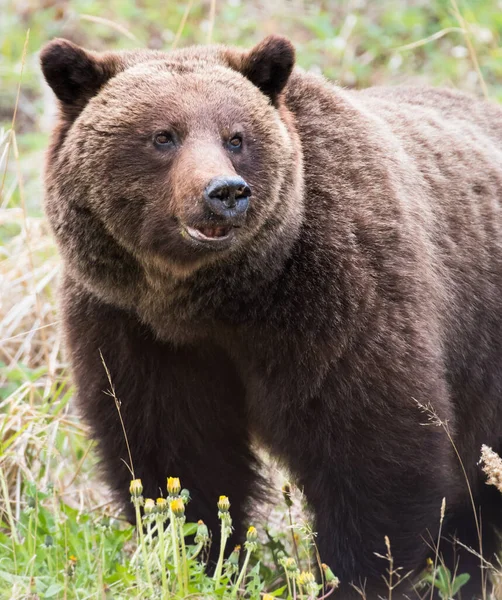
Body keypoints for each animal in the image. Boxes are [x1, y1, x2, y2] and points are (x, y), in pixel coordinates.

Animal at [41, 35, 502, 596]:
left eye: (236, 136)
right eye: (163, 135)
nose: (225, 192)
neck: (214, 302)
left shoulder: (338, 302)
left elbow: (372, 453)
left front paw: (353, 575)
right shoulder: (132, 328)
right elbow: (175, 455)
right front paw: (205, 555)